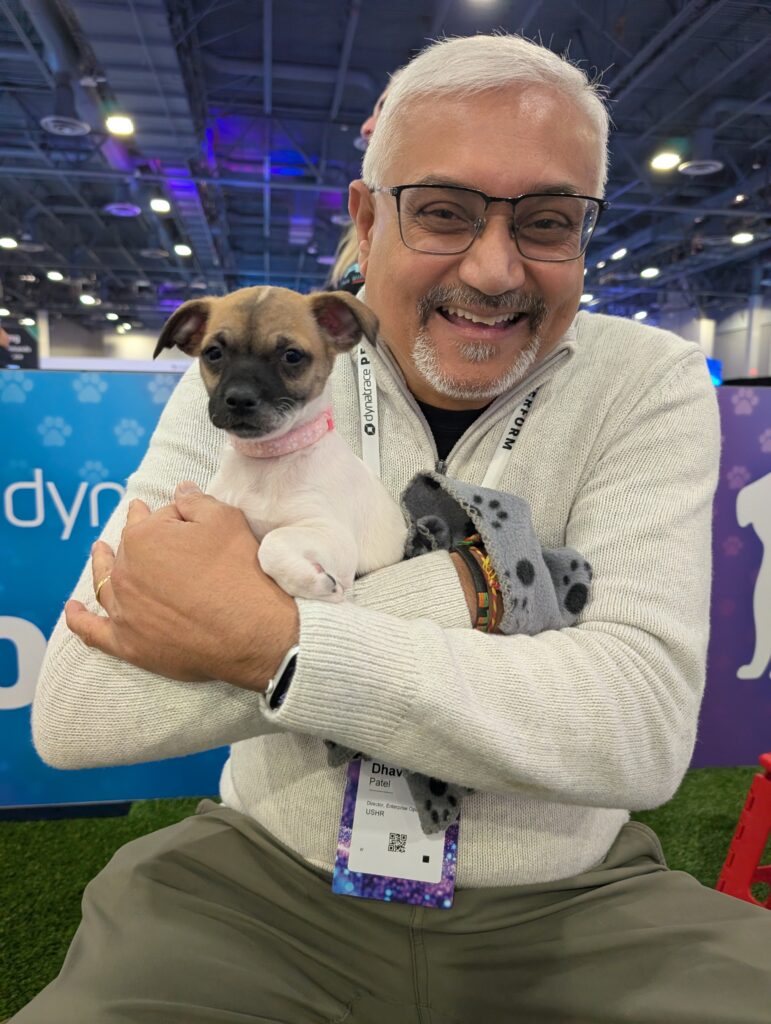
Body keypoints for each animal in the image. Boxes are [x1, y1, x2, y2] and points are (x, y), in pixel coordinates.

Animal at [154, 285, 407, 600]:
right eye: (213, 353)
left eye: (292, 356)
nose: (239, 399)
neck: (268, 459)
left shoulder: (333, 536)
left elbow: (272, 541)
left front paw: (315, 584)